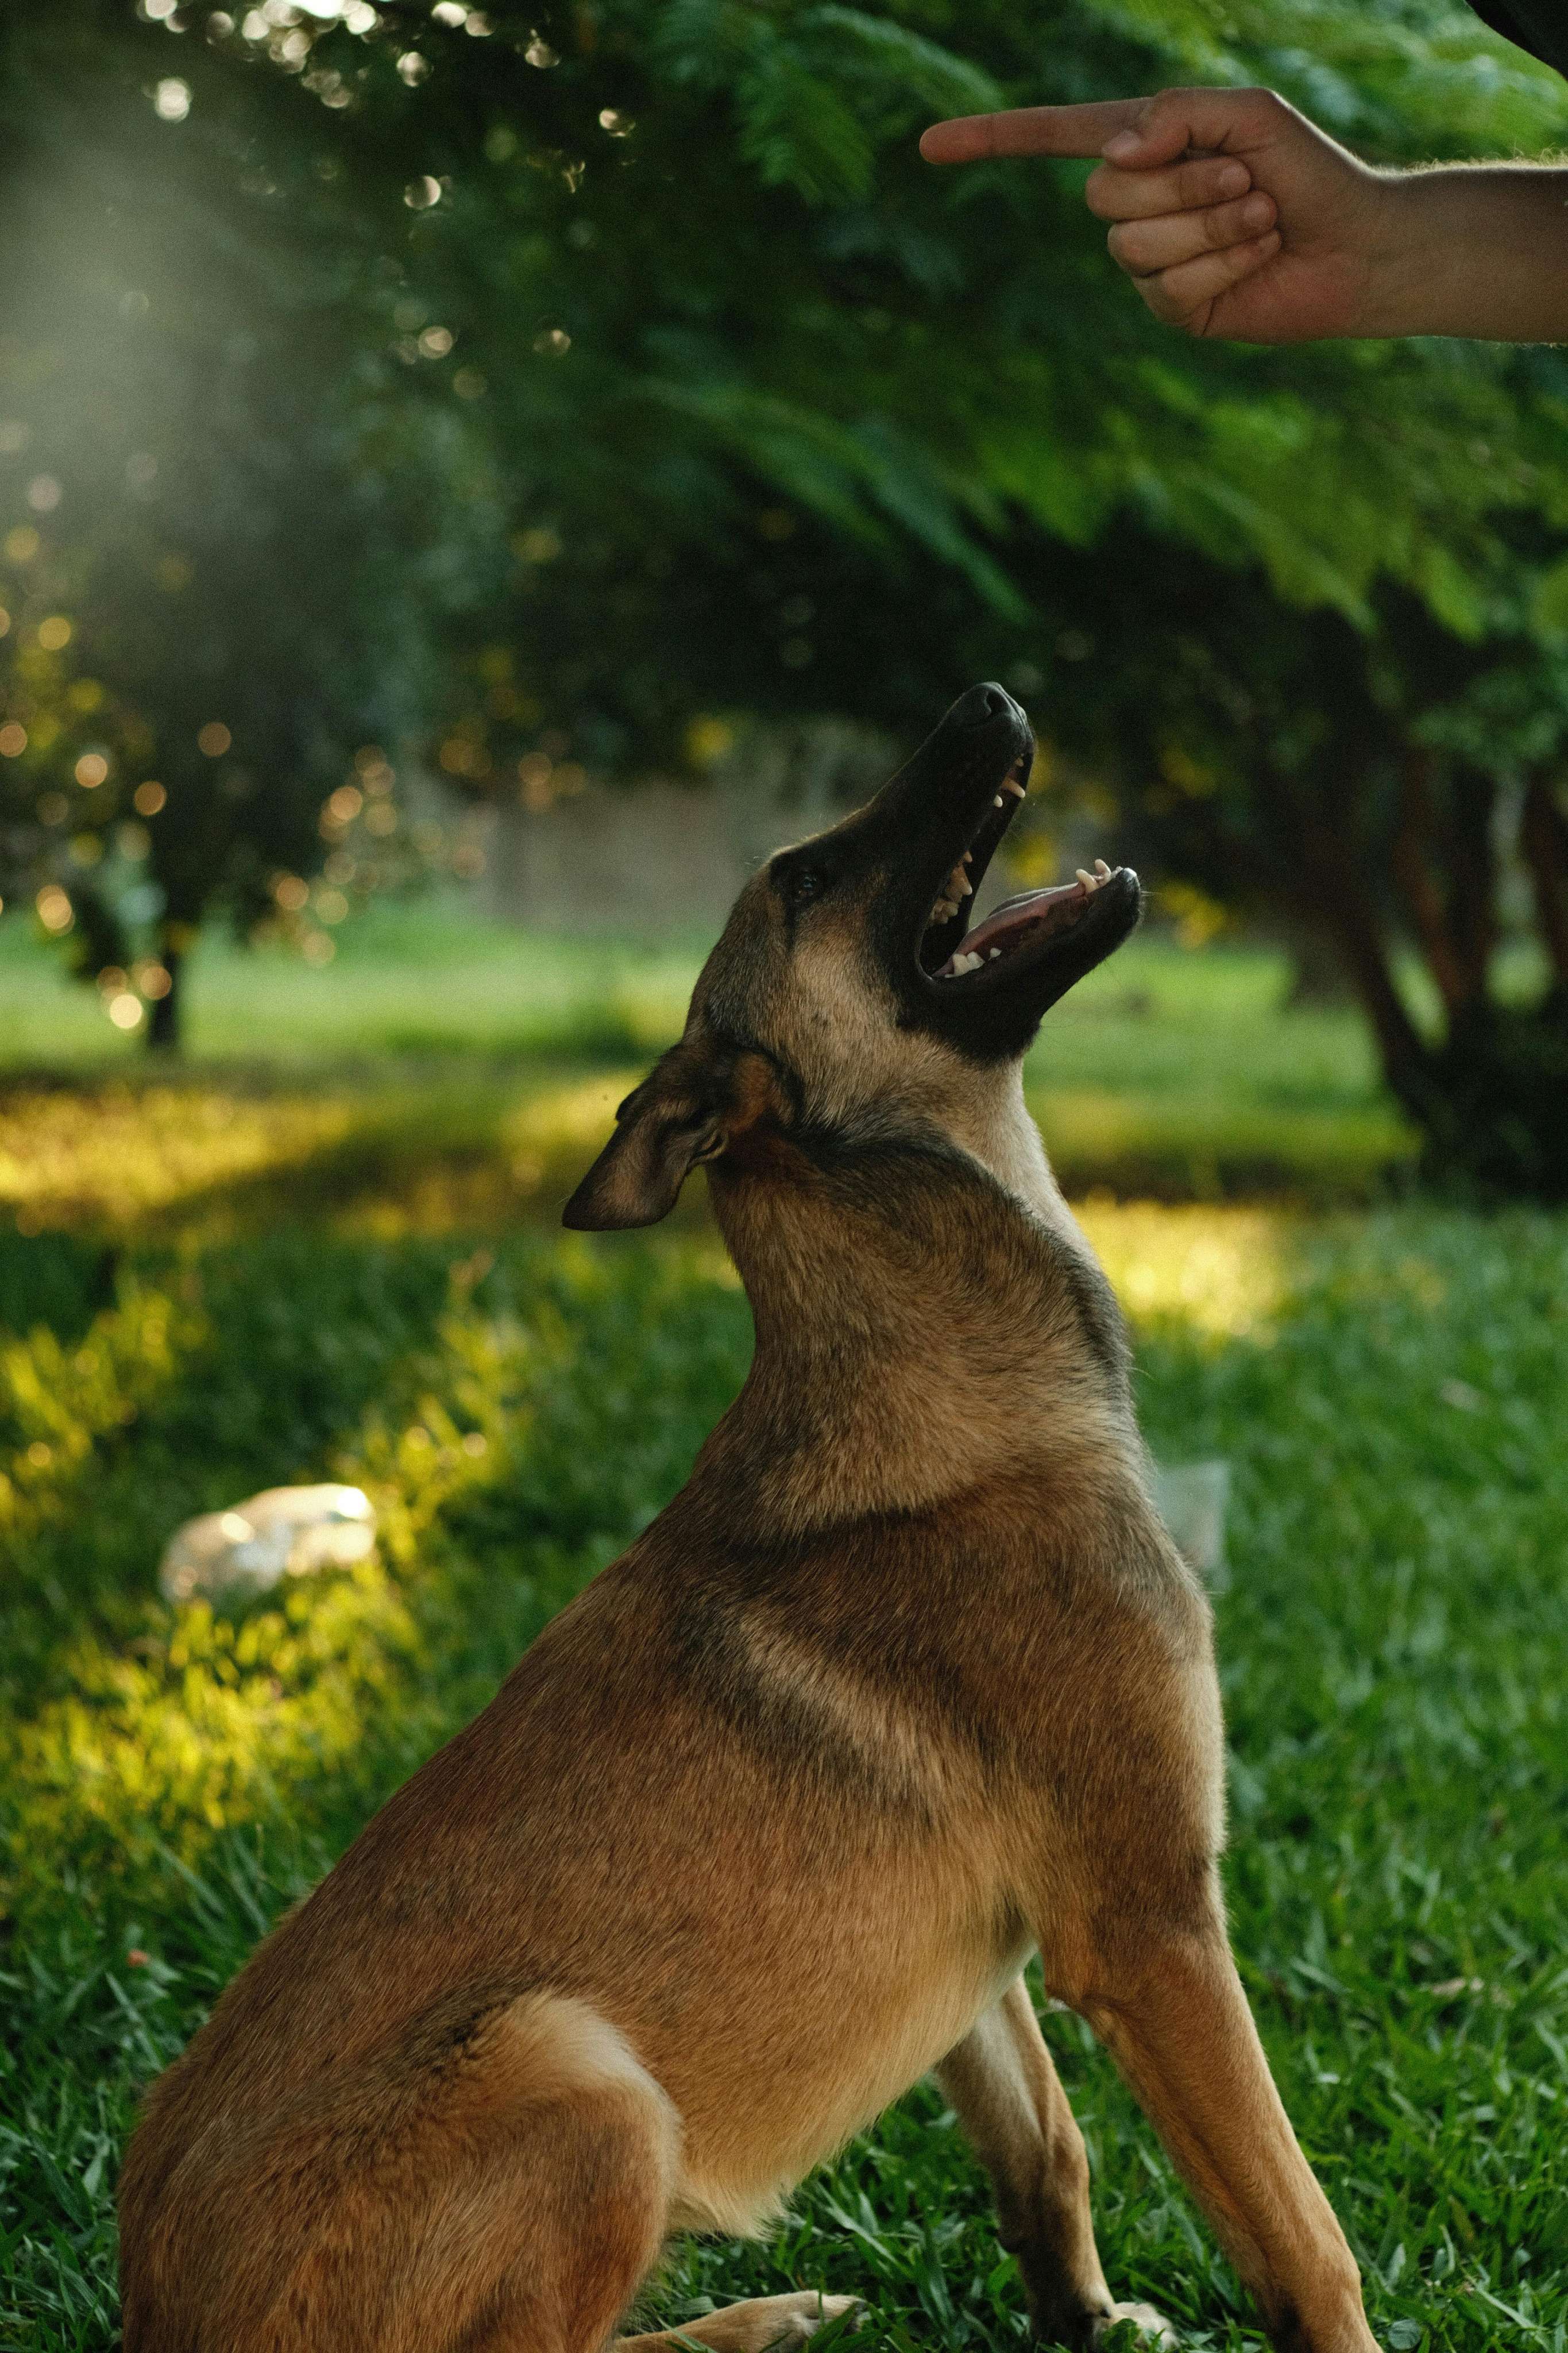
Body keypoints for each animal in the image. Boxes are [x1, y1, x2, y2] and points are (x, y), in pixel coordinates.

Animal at [116, 687, 1382, 2353]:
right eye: (805, 877)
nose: (986, 700)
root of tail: (149, 2315)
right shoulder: (1151, 1920)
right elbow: (1304, 2242)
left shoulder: (981, 1964)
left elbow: (1046, 2153)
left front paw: (1085, 2322)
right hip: (580, 2075)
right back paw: (750, 2325)